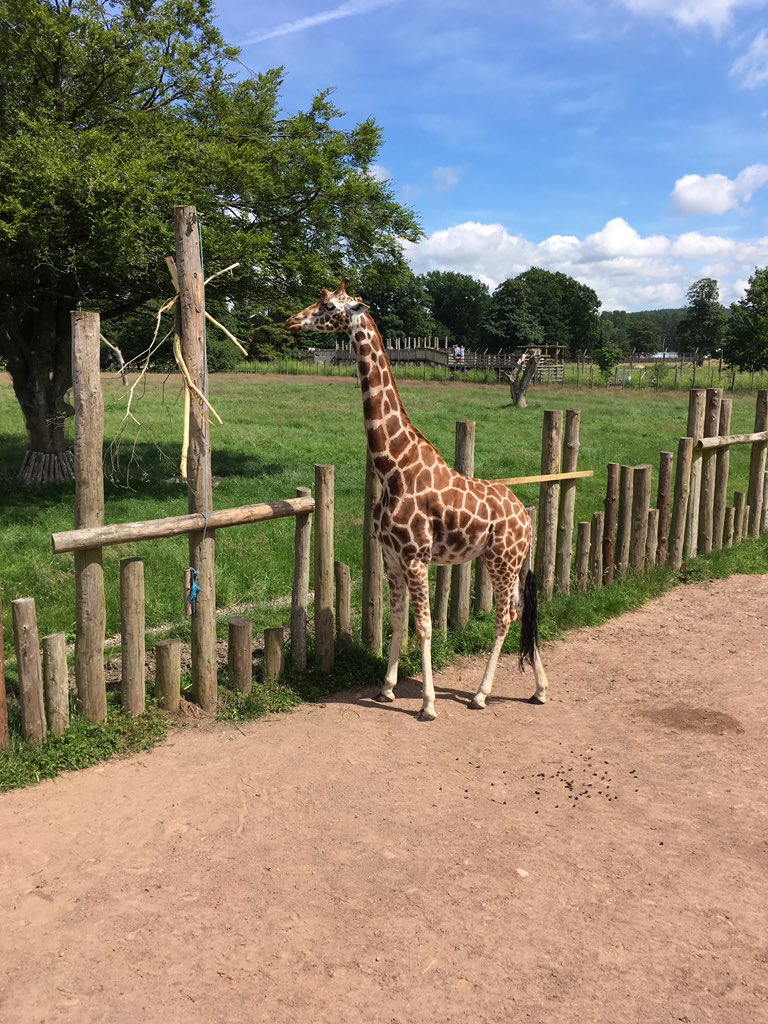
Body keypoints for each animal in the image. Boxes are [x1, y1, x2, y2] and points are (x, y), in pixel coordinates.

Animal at [286, 281, 549, 721]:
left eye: (329, 306)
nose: (291, 321)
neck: (394, 468)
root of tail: (525, 518)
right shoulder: (391, 557)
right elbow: (395, 621)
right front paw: (387, 689)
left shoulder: (415, 557)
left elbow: (423, 626)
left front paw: (426, 703)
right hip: (507, 562)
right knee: (521, 609)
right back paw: (541, 689)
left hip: (501, 560)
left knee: (505, 616)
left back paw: (480, 694)